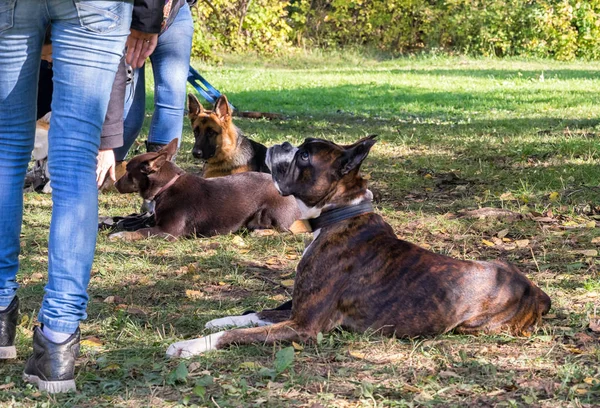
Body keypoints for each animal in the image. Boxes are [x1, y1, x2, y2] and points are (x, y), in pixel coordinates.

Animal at [109, 140, 300, 242]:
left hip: (270, 213)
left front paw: (119, 235)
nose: (115, 183)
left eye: (127, 172)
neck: (167, 186)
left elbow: (140, 232)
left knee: (287, 231)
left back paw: (261, 232)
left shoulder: (168, 231)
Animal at [166, 135, 552, 356]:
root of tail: (535, 290)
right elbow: (254, 313)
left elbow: (235, 335)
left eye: (304, 156)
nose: (283, 144)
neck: (339, 214)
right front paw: (219, 319)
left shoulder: (303, 326)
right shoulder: (297, 311)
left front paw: (188, 346)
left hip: (472, 325)